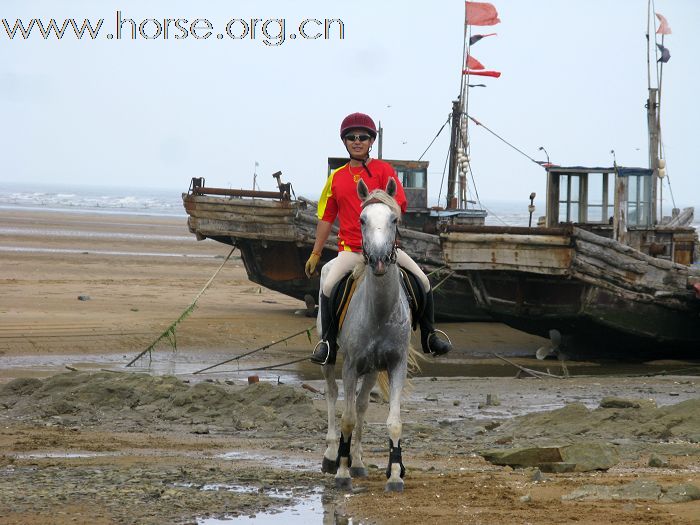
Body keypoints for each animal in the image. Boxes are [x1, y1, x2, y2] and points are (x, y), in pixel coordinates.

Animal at [318, 177, 412, 492]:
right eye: (362, 219)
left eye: (394, 219)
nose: (381, 260)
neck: (379, 312)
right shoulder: (350, 365)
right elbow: (346, 418)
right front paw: (341, 473)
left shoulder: (396, 365)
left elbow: (393, 420)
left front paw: (394, 474)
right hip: (331, 358)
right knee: (333, 395)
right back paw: (332, 456)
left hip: (371, 368)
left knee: (360, 405)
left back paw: (357, 461)